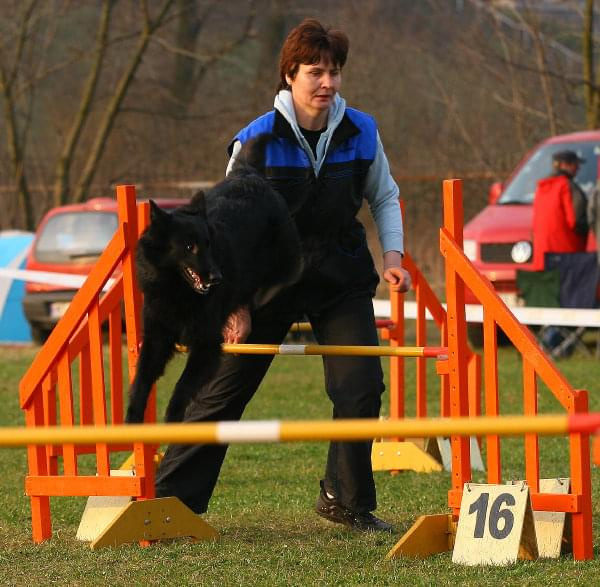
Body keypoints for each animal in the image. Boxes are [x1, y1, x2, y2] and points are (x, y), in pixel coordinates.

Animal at [127, 137, 304, 422]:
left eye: (209, 244)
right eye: (189, 247)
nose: (217, 278)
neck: (177, 291)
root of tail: (249, 175)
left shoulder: (207, 345)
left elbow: (182, 387)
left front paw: (171, 419)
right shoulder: (156, 337)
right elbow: (141, 380)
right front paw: (132, 418)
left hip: (288, 259)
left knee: (284, 277)